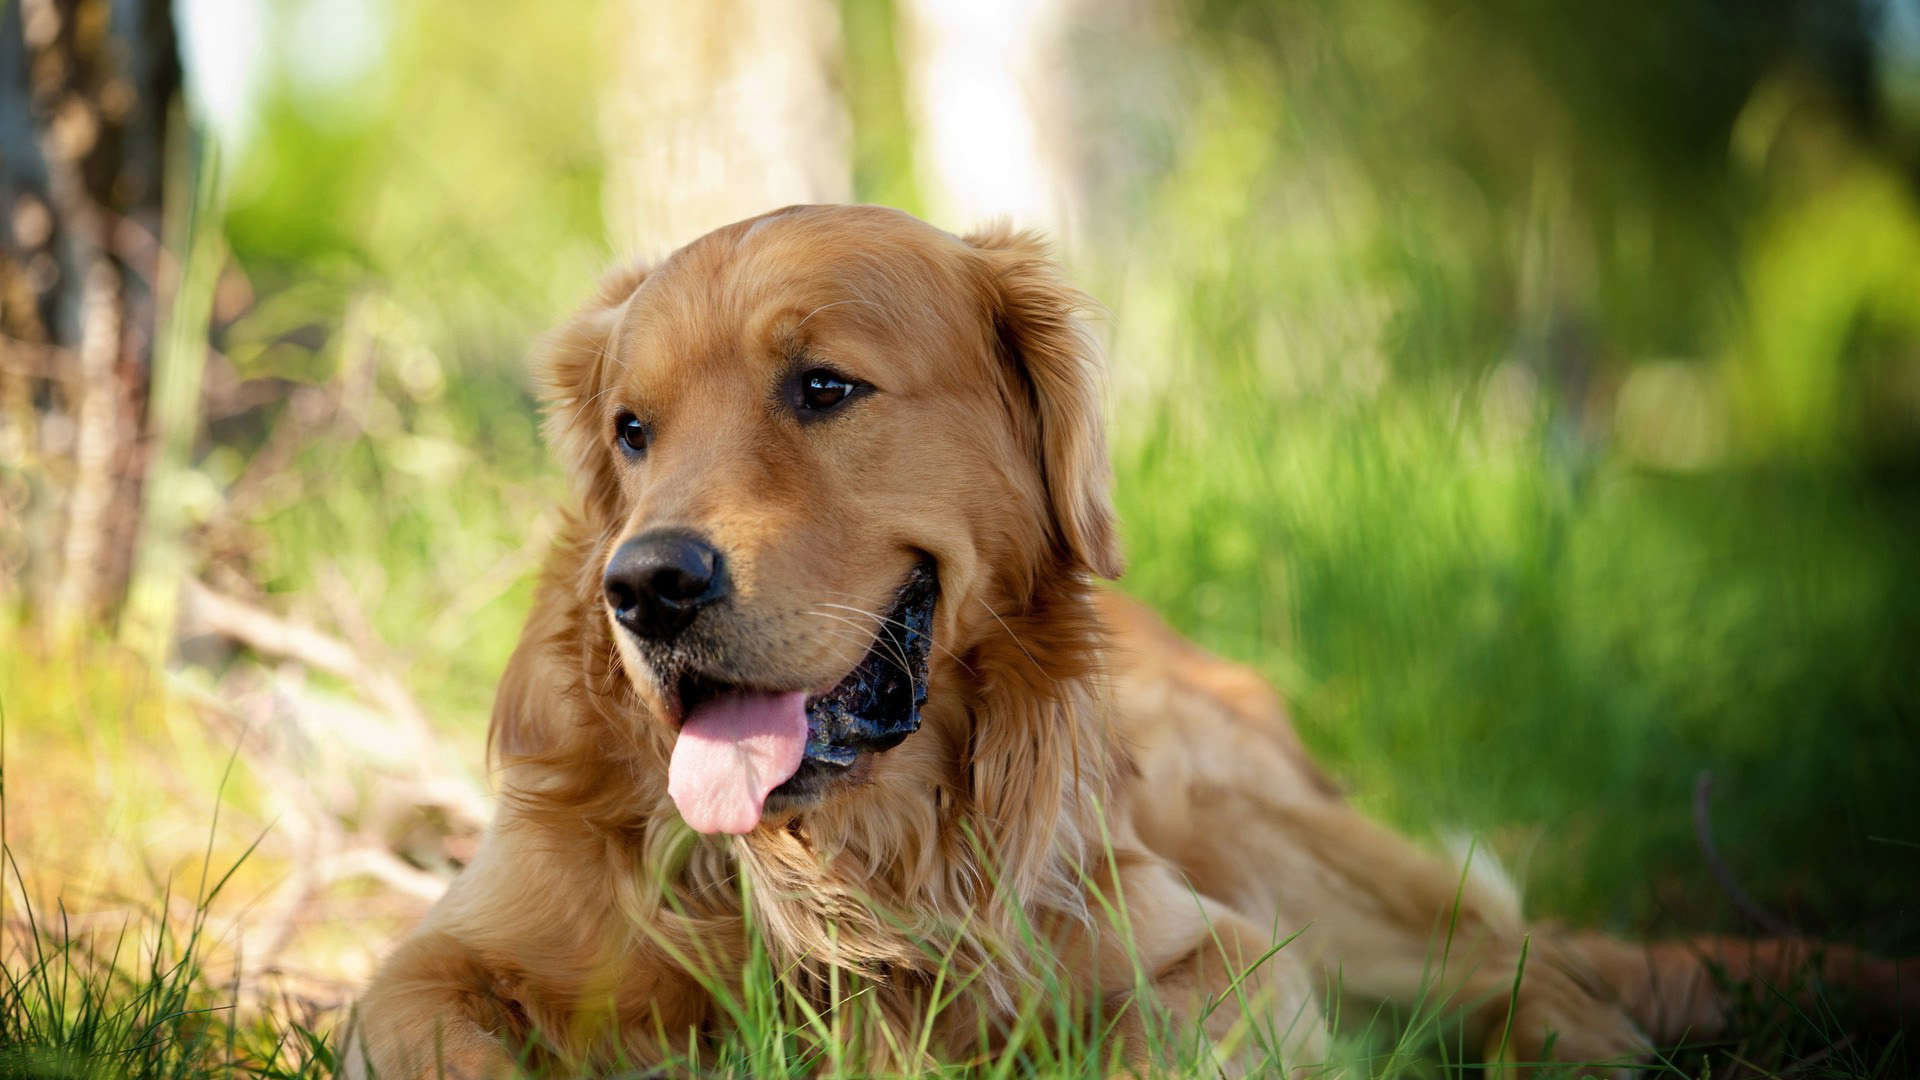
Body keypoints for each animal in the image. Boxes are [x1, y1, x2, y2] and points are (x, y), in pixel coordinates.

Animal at [349, 205, 1920, 1068]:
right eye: (632, 429)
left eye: (823, 387)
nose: (648, 587)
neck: (841, 867)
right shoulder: (429, 966)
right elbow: (432, 1025)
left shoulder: (1219, 949)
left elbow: (1155, 1034)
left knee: (1534, 979)